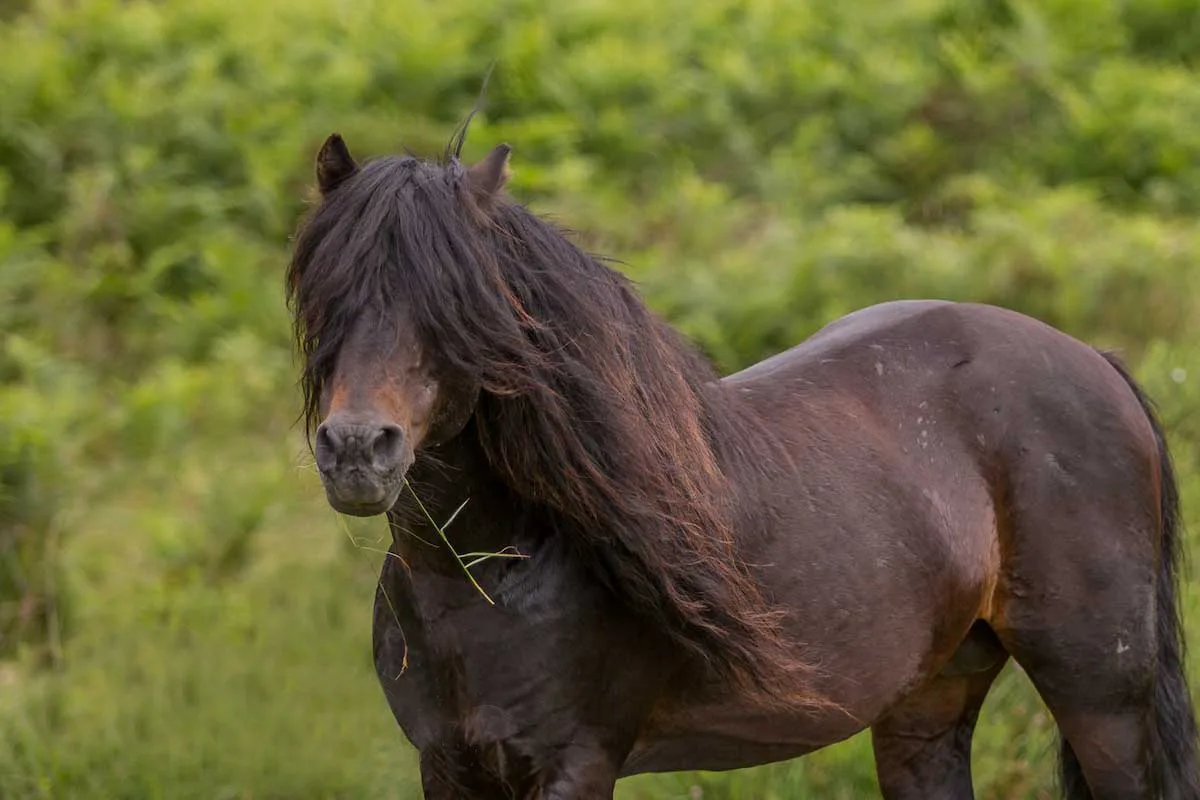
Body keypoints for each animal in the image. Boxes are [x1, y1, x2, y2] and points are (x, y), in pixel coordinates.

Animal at [286, 129, 1200, 799]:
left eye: (454, 304)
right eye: (325, 295)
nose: (358, 450)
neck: (490, 578)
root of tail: (1095, 362)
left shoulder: (575, 763)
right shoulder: (450, 767)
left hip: (1103, 703)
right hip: (930, 703)